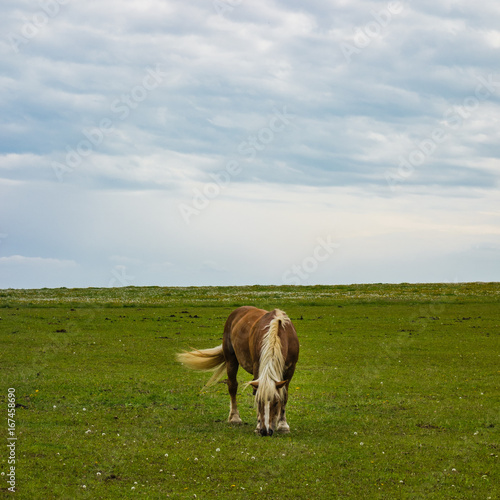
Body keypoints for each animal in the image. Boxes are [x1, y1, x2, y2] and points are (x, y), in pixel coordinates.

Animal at [177, 302, 298, 436]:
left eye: (276, 402)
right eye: (258, 401)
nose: (265, 431)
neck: (278, 331)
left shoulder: (290, 370)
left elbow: (284, 396)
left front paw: (283, 425)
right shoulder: (257, 367)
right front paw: (258, 425)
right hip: (231, 360)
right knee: (232, 386)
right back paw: (234, 418)